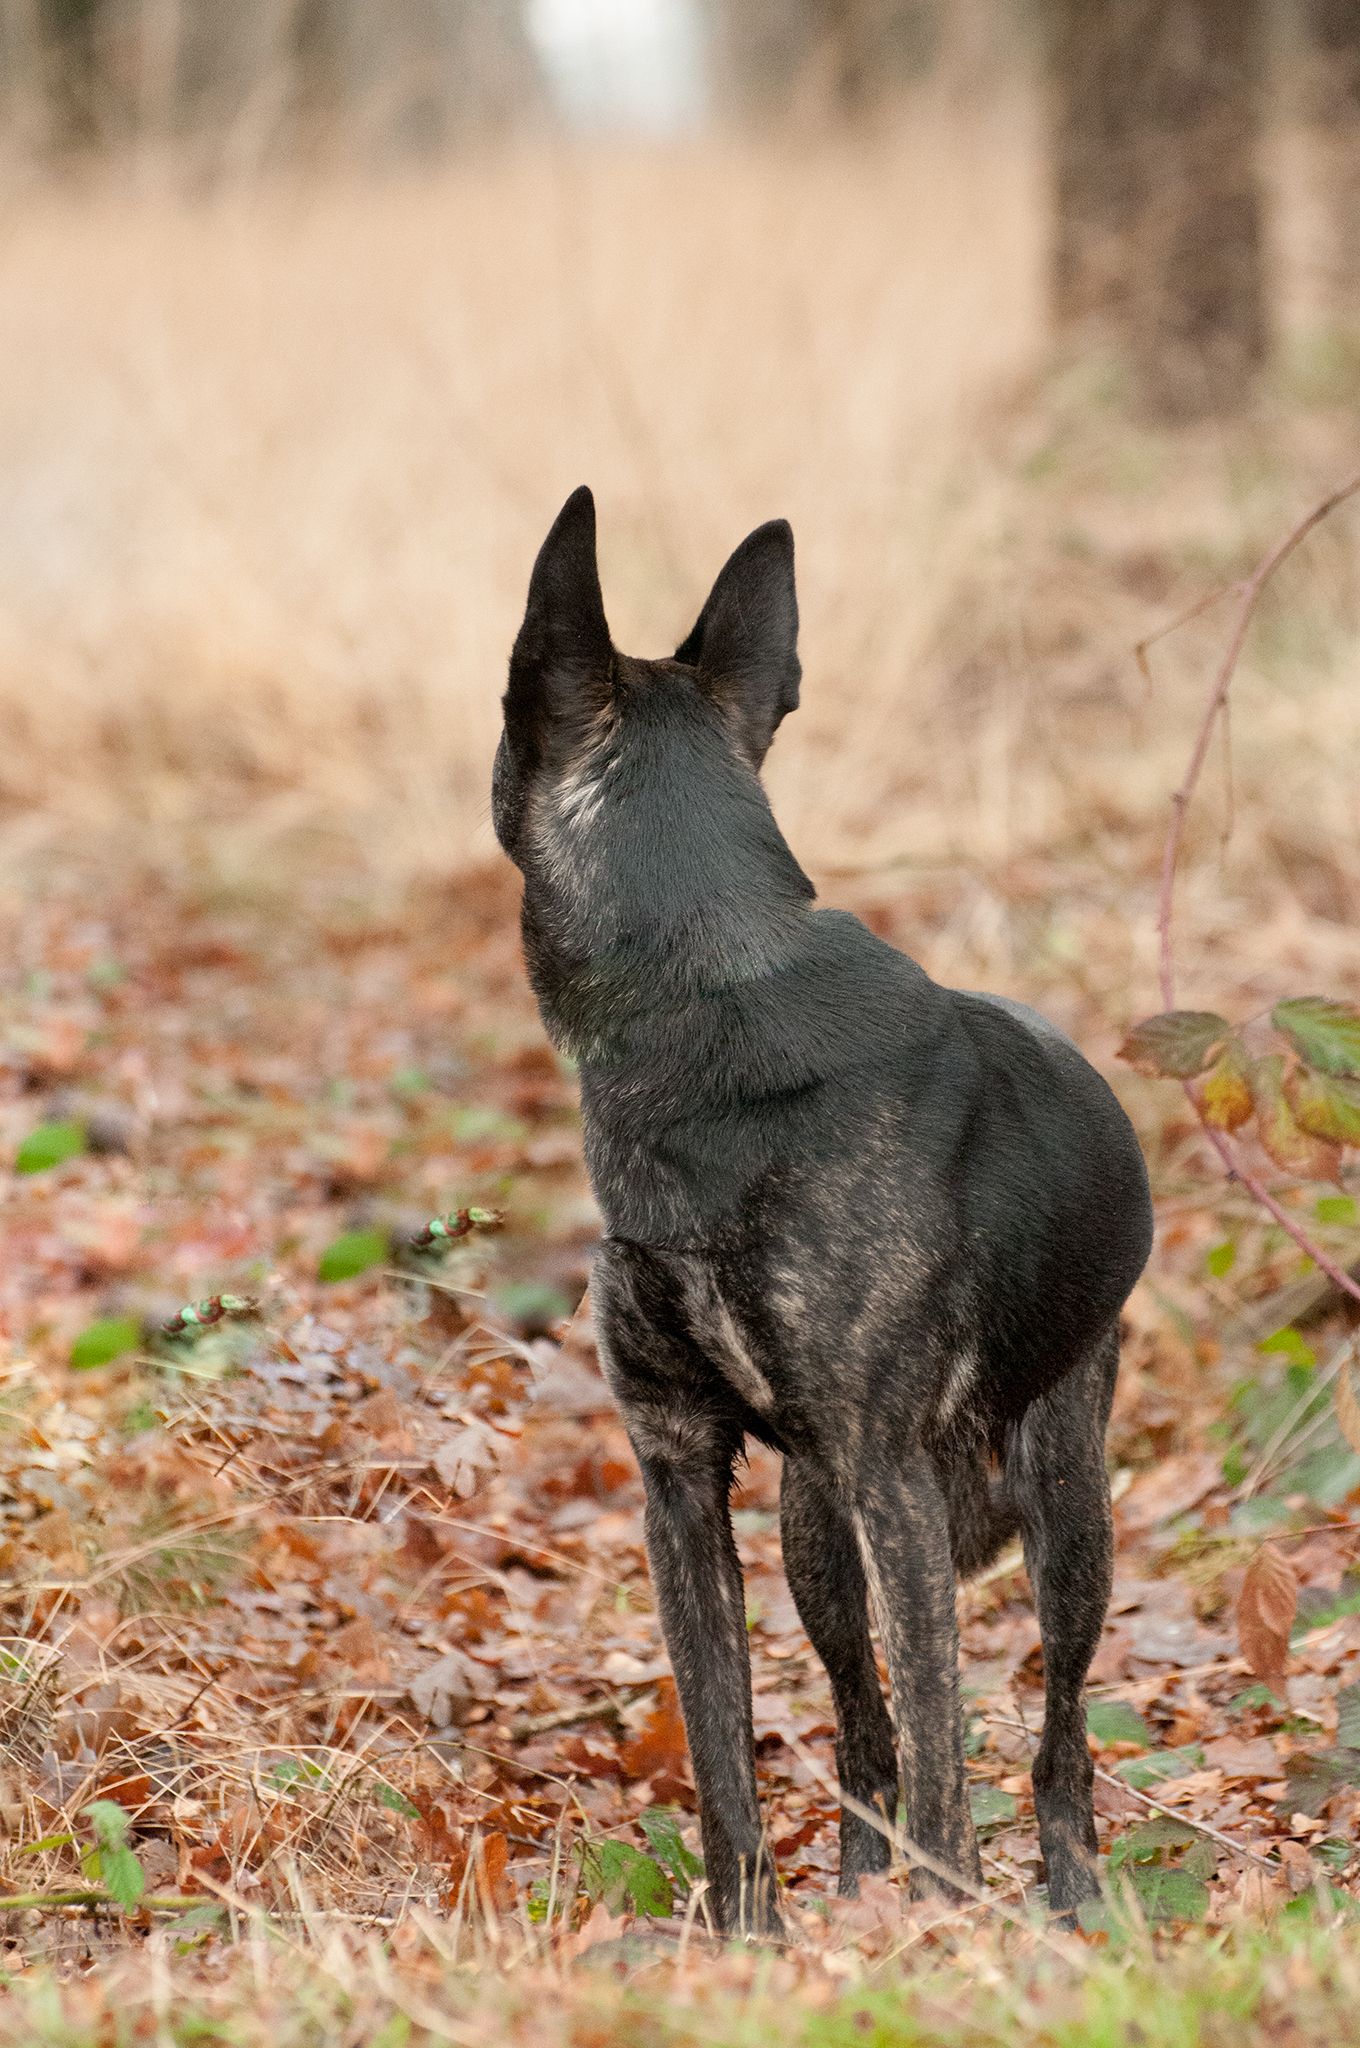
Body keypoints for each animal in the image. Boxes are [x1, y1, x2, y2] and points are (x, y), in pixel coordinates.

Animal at [493, 487, 1155, 1925]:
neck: (708, 992)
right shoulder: (678, 1475)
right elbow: (723, 1753)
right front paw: (749, 1936)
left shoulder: (891, 1479)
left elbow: (950, 1746)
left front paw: (950, 1925)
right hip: (810, 1529)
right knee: (861, 1725)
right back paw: (858, 1891)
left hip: (1063, 1499)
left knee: (1057, 1734)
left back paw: (1066, 1894)